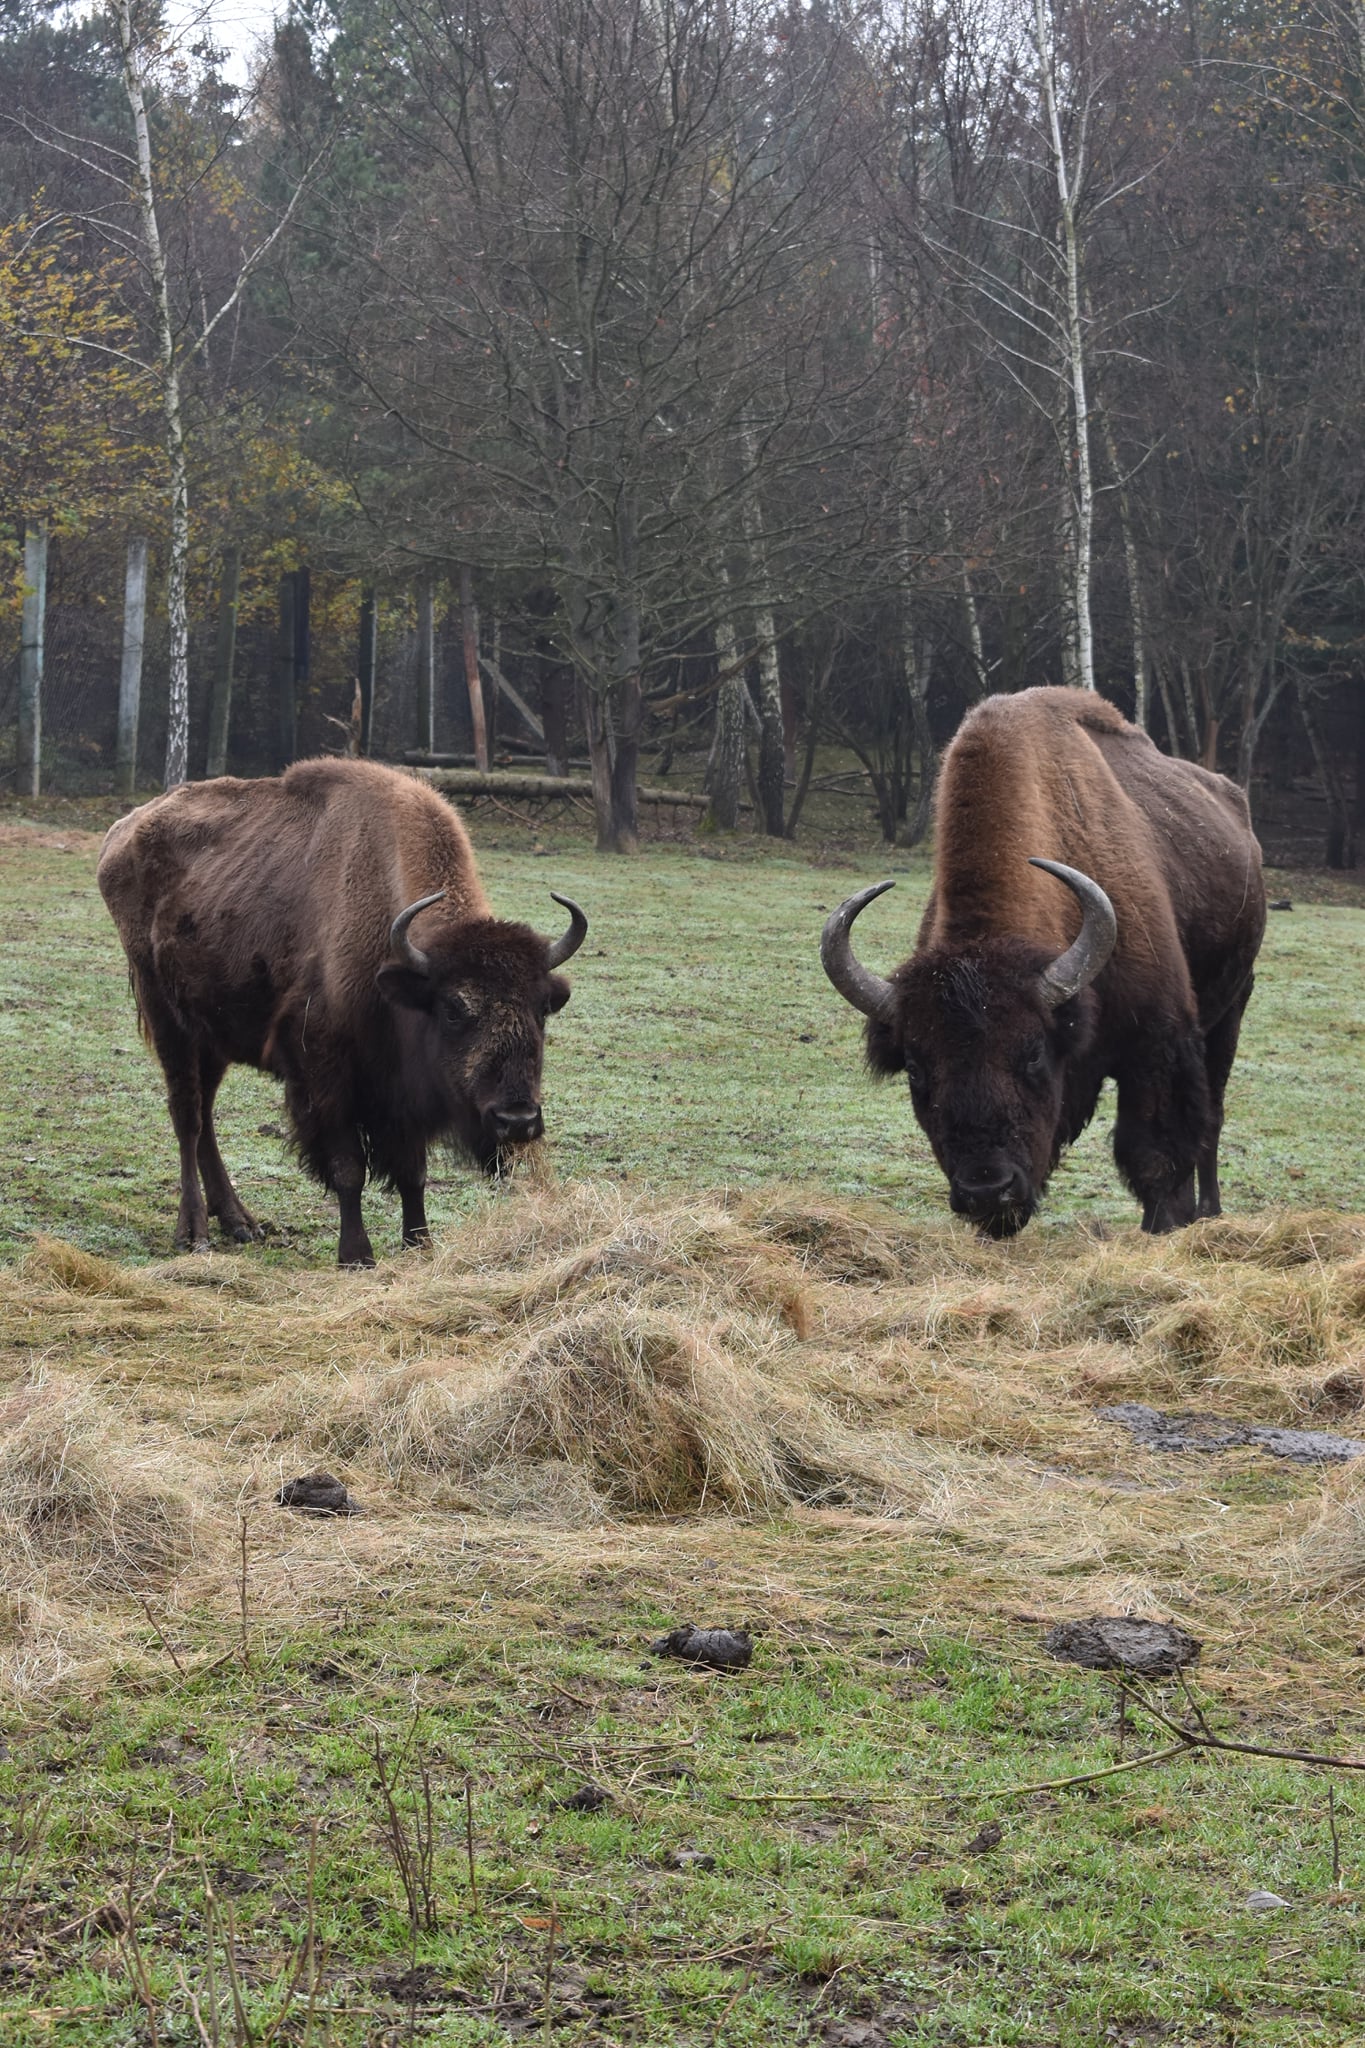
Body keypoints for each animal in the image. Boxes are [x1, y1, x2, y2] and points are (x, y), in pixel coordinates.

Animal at [96, 753, 589, 1261]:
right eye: (453, 1008)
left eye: (542, 1009)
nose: (517, 1121)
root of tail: (121, 832)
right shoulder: (325, 1076)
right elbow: (348, 1168)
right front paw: (356, 1255)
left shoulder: (401, 1092)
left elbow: (412, 1173)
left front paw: (420, 1244)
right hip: (167, 1017)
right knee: (188, 1115)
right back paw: (193, 1231)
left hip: (214, 1033)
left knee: (206, 1111)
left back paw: (239, 1221)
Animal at [818, 688, 1268, 1228]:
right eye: (915, 1068)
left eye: (1032, 1052)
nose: (987, 1190)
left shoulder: (1158, 1044)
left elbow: (1156, 1156)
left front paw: (1165, 1225)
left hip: (1234, 1005)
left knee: (1213, 1116)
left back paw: (1210, 1212)